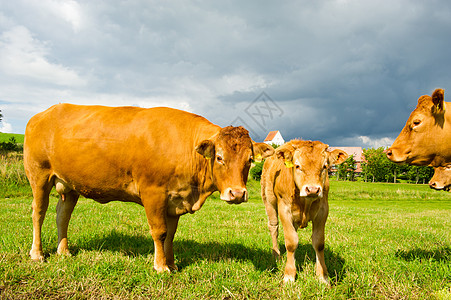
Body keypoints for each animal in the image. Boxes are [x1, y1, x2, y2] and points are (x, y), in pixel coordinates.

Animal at [23, 104, 276, 274]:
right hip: (39, 176)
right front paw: (160, 266)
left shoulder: (175, 199)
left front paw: (171, 263)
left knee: (62, 216)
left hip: (69, 186)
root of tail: (42, 114)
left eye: (249, 160)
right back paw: (37, 253)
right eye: (220, 157)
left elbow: (171, 234)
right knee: (38, 213)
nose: (237, 193)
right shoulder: (153, 193)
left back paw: (63, 250)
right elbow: (159, 231)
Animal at [260, 140, 348, 284]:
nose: (312, 189)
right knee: (274, 227)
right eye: (297, 166)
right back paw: (276, 256)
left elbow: (319, 243)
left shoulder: (323, 211)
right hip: (268, 200)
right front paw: (289, 275)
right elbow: (291, 242)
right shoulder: (284, 210)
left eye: (324, 166)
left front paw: (322, 277)